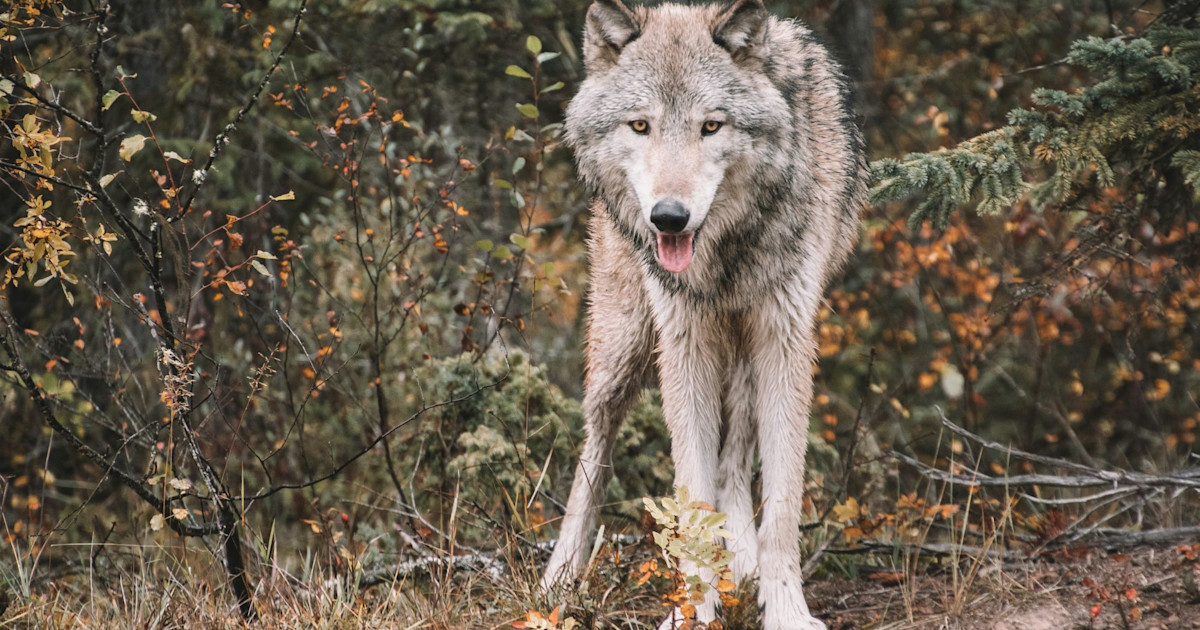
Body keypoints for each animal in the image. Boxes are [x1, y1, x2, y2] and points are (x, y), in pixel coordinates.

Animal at [541, 1, 867, 629]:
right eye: (640, 126)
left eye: (710, 127)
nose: (669, 216)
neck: (726, 252)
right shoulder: (683, 340)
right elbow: (691, 494)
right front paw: (695, 608)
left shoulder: (785, 336)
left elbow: (780, 505)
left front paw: (783, 605)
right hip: (624, 348)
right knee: (596, 447)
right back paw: (560, 577)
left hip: (739, 352)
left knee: (735, 457)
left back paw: (740, 561)